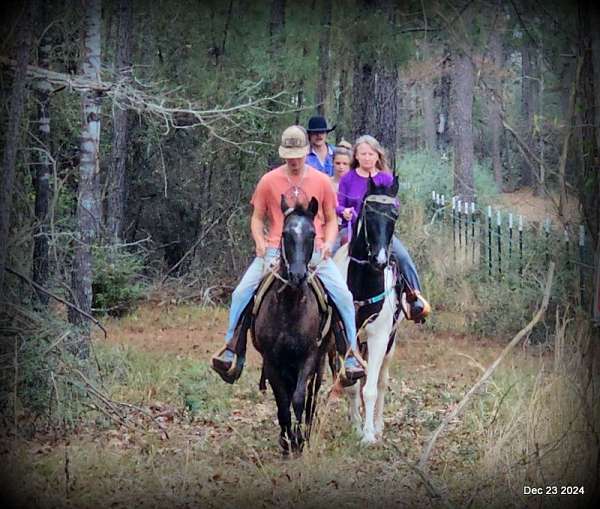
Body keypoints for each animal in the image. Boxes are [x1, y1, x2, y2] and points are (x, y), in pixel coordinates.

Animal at [332, 176, 404, 444]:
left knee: (381, 381)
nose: (380, 260)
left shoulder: (379, 336)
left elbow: (371, 388)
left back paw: (378, 424)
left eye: (394, 214)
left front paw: (369, 434)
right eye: (369, 211)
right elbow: (352, 384)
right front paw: (356, 426)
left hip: (391, 342)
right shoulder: (344, 335)